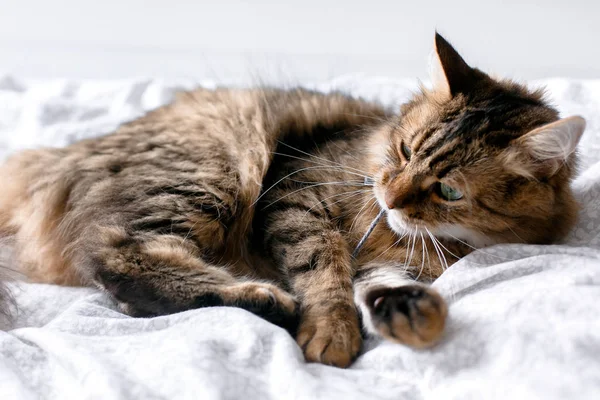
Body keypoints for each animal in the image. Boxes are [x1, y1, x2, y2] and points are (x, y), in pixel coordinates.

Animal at [0, 32, 584, 368]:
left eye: (449, 190)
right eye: (403, 150)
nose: (390, 195)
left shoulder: (392, 259)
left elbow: (381, 285)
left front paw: (409, 312)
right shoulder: (296, 197)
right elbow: (325, 272)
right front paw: (330, 333)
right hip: (210, 174)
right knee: (117, 254)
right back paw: (267, 301)